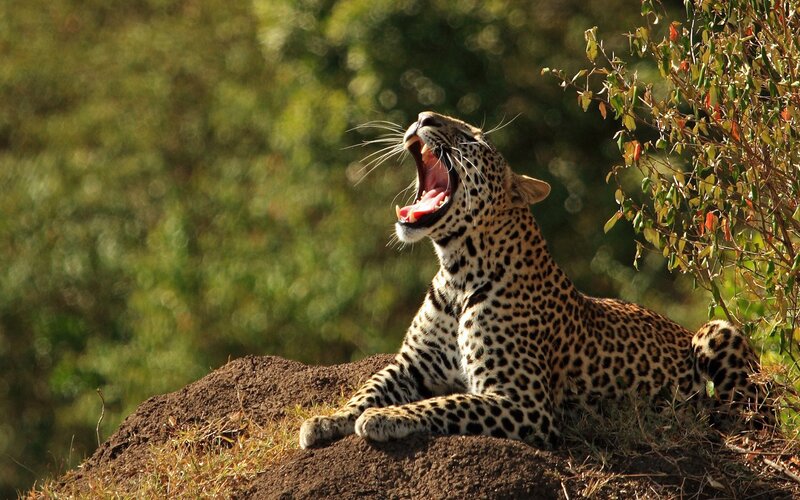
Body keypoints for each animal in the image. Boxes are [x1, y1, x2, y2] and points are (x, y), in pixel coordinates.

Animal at [299, 111, 773, 449]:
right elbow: (368, 387)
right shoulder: (411, 364)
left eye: (473, 139)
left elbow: (443, 402)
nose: (423, 117)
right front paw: (326, 420)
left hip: (717, 332)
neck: (457, 272)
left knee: (747, 407)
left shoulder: (522, 402)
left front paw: (386, 418)